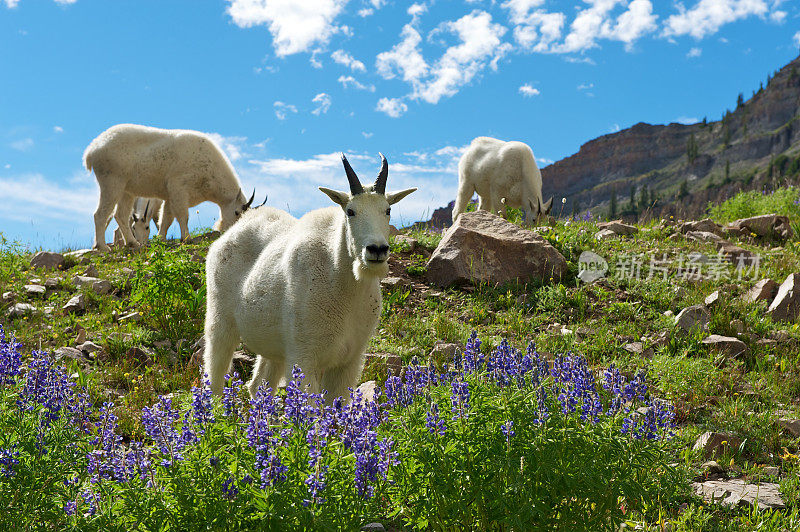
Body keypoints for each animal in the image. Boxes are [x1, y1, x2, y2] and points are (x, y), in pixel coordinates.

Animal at [83, 123, 262, 250]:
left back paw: (133, 243)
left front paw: (161, 239)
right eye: (237, 212)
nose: (230, 232)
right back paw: (103, 247)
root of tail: (92, 151)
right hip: (112, 183)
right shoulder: (179, 188)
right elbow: (183, 215)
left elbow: (166, 219)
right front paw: (187, 238)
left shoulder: (169, 196)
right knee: (100, 214)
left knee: (120, 215)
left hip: (127, 191)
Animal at [203, 156, 416, 402]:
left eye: (387, 210)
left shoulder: (348, 361)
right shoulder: (304, 357)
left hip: (273, 346)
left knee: (258, 385)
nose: (377, 250)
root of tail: (227, 236)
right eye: (350, 211)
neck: (345, 285)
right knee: (215, 375)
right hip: (220, 321)